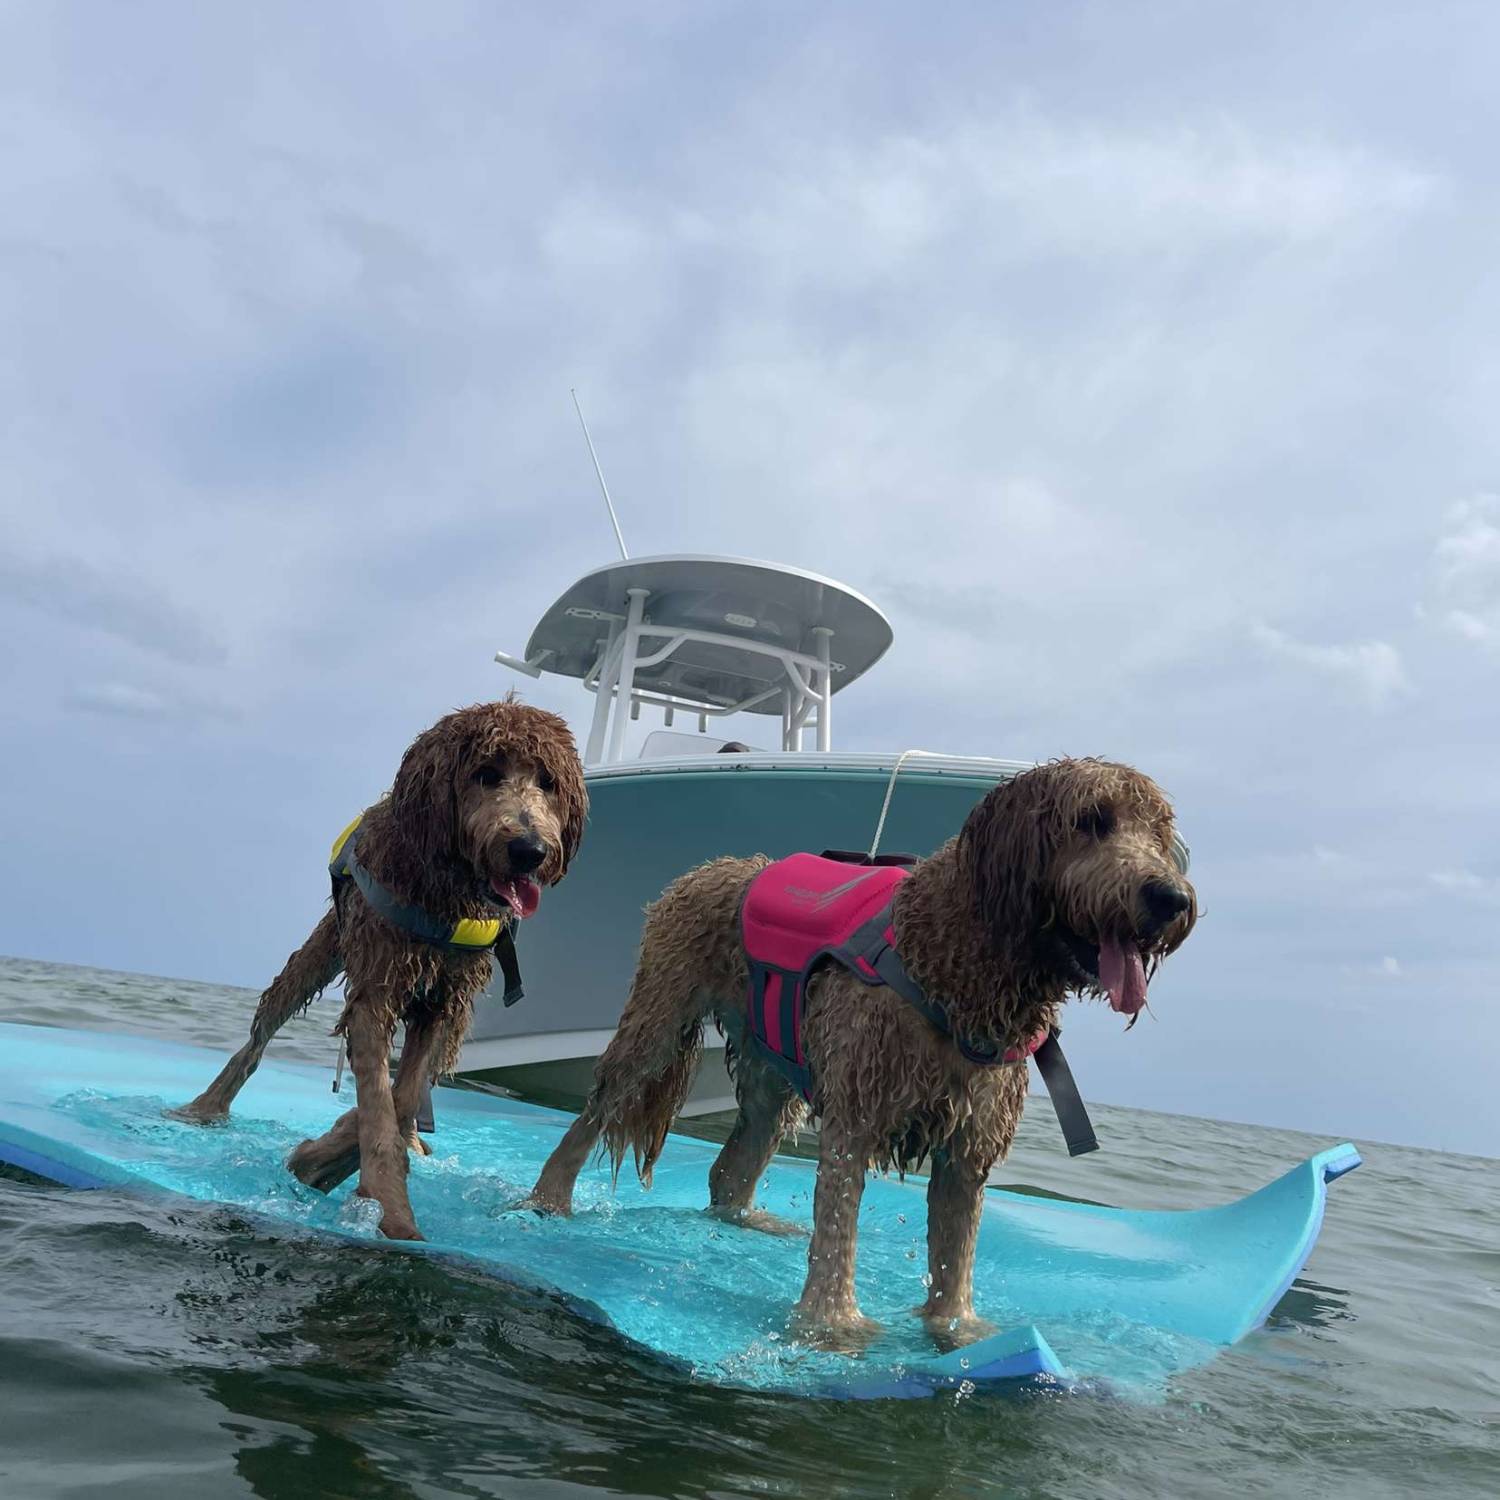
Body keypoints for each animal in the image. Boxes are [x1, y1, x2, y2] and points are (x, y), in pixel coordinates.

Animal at [167, 702, 582, 1242]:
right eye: (486, 773)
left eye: (548, 782)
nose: (529, 850)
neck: (444, 889)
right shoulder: (376, 982)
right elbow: (379, 1100)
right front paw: (387, 1206)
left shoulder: (442, 1000)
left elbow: (400, 1100)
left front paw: (329, 1154)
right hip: (321, 952)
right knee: (260, 1032)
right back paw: (205, 1107)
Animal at [528, 756, 1194, 1356]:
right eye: (1092, 820)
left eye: (1160, 833)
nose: (1173, 898)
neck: (959, 960)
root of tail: (704, 870)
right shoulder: (859, 1107)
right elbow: (838, 1225)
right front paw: (833, 1324)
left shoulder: (968, 1146)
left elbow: (955, 1253)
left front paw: (955, 1330)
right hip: (657, 1018)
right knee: (596, 1110)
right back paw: (548, 1199)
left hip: (774, 1067)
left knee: (733, 1163)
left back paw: (746, 1219)